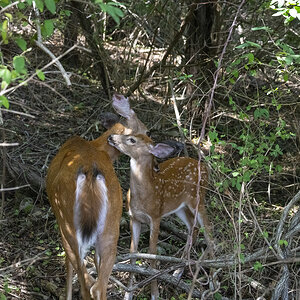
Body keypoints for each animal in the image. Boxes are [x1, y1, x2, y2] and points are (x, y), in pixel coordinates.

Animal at [46, 94, 149, 300]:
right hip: (111, 224)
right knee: (99, 284)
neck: (97, 147)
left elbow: (70, 267)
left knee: (85, 279)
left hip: (67, 221)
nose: (150, 136)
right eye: (144, 130)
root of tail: (91, 172)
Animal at [108, 134, 213, 300]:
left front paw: (154, 294)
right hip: (180, 207)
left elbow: (152, 253)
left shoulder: (155, 217)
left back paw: (213, 277)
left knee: (208, 229)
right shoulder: (134, 218)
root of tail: (205, 167)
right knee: (193, 227)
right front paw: (128, 294)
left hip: (198, 198)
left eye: (132, 140)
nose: (111, 136)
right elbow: (133, 252)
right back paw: (178, 271)